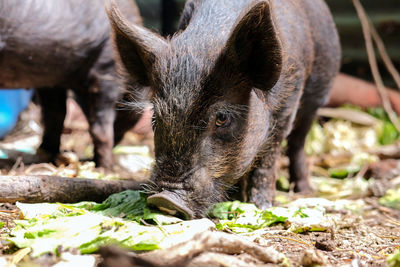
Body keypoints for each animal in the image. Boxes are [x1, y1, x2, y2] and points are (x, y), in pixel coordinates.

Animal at [0, 0, 144, 168]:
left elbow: (55, 114)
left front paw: (47, 154)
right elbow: (100, 127)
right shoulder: (107, 69)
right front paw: (107, 168)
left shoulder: (53, 81)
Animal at [108, 0, 340, 219]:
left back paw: (304, 190)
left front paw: (261, 206)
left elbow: (268, 158)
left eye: (222, 117)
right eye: (155, 118)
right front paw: (237, 199)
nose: (165, 198)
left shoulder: (288, 104)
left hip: (317, 95)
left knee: (298, 142)